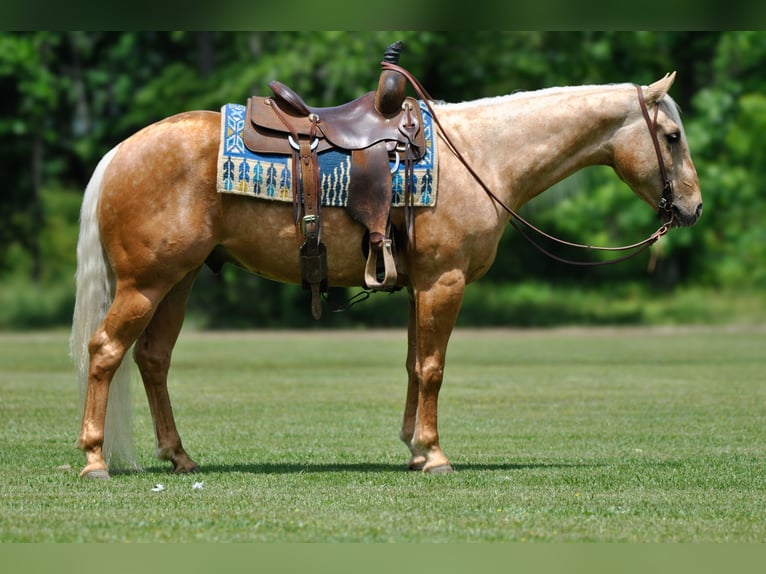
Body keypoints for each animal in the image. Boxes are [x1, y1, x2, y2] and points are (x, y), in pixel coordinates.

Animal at [71, 72, 702, 479]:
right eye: (672, 137)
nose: (693, 208)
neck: (480, 155)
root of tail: (119, 152)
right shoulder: (445, 282)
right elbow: (433, 369)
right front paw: (435, 455)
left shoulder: (421, 286)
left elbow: (413, 365)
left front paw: (415, 449)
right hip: (146, 284)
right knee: (105, 351)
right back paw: (95, 459)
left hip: (178, 281)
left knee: (153, 359)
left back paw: (179, 457)